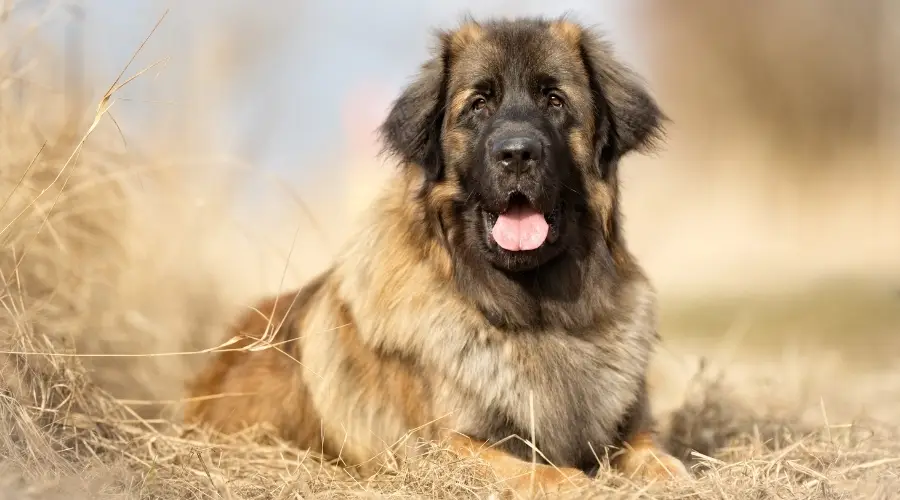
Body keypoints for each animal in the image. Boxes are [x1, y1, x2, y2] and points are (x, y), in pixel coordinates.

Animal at [183, 15, 688, 496]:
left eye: (555, 101)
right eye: (479, 104)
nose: (517, 154)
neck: (535, 313)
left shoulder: (629, 426)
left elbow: (656, 454)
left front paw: (669, 475)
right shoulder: (441, 445)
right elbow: (522, 469)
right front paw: (567, 481)